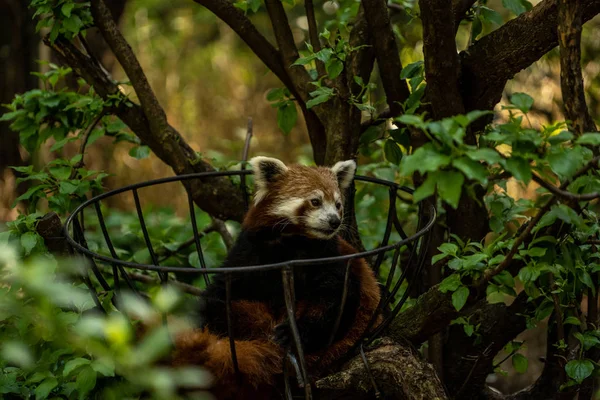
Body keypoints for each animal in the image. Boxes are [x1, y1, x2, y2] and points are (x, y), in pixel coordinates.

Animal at [169, 158, 380, 398]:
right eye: (315, 201)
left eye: (337, 204)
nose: (334, 221)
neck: (291, 242)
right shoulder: (250, 250)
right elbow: (222, 288)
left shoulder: (330, 257)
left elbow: (334, 300)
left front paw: (292, 334)